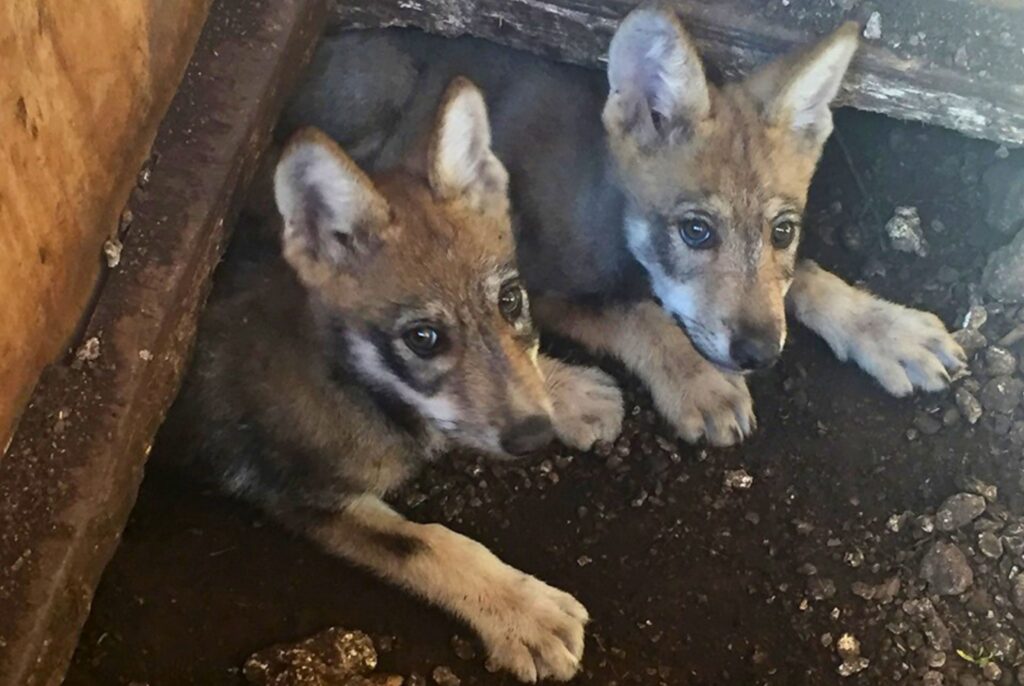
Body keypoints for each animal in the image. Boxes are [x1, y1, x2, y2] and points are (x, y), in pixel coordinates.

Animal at [164, 78, 626, 682]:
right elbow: (431, 543)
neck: (358, 385)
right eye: (423, 338)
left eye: (509, 301)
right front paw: (522, 610)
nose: (533, 437)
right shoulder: (303, 494)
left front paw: (567, 391)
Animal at [284, 3, 966, 447]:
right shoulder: (537, 285)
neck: (610, 214)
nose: (758, 355)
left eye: (783, 232)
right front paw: (701, 383)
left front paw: (885, 328)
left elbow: (803, 279)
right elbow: (637, 316)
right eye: (696, 231)